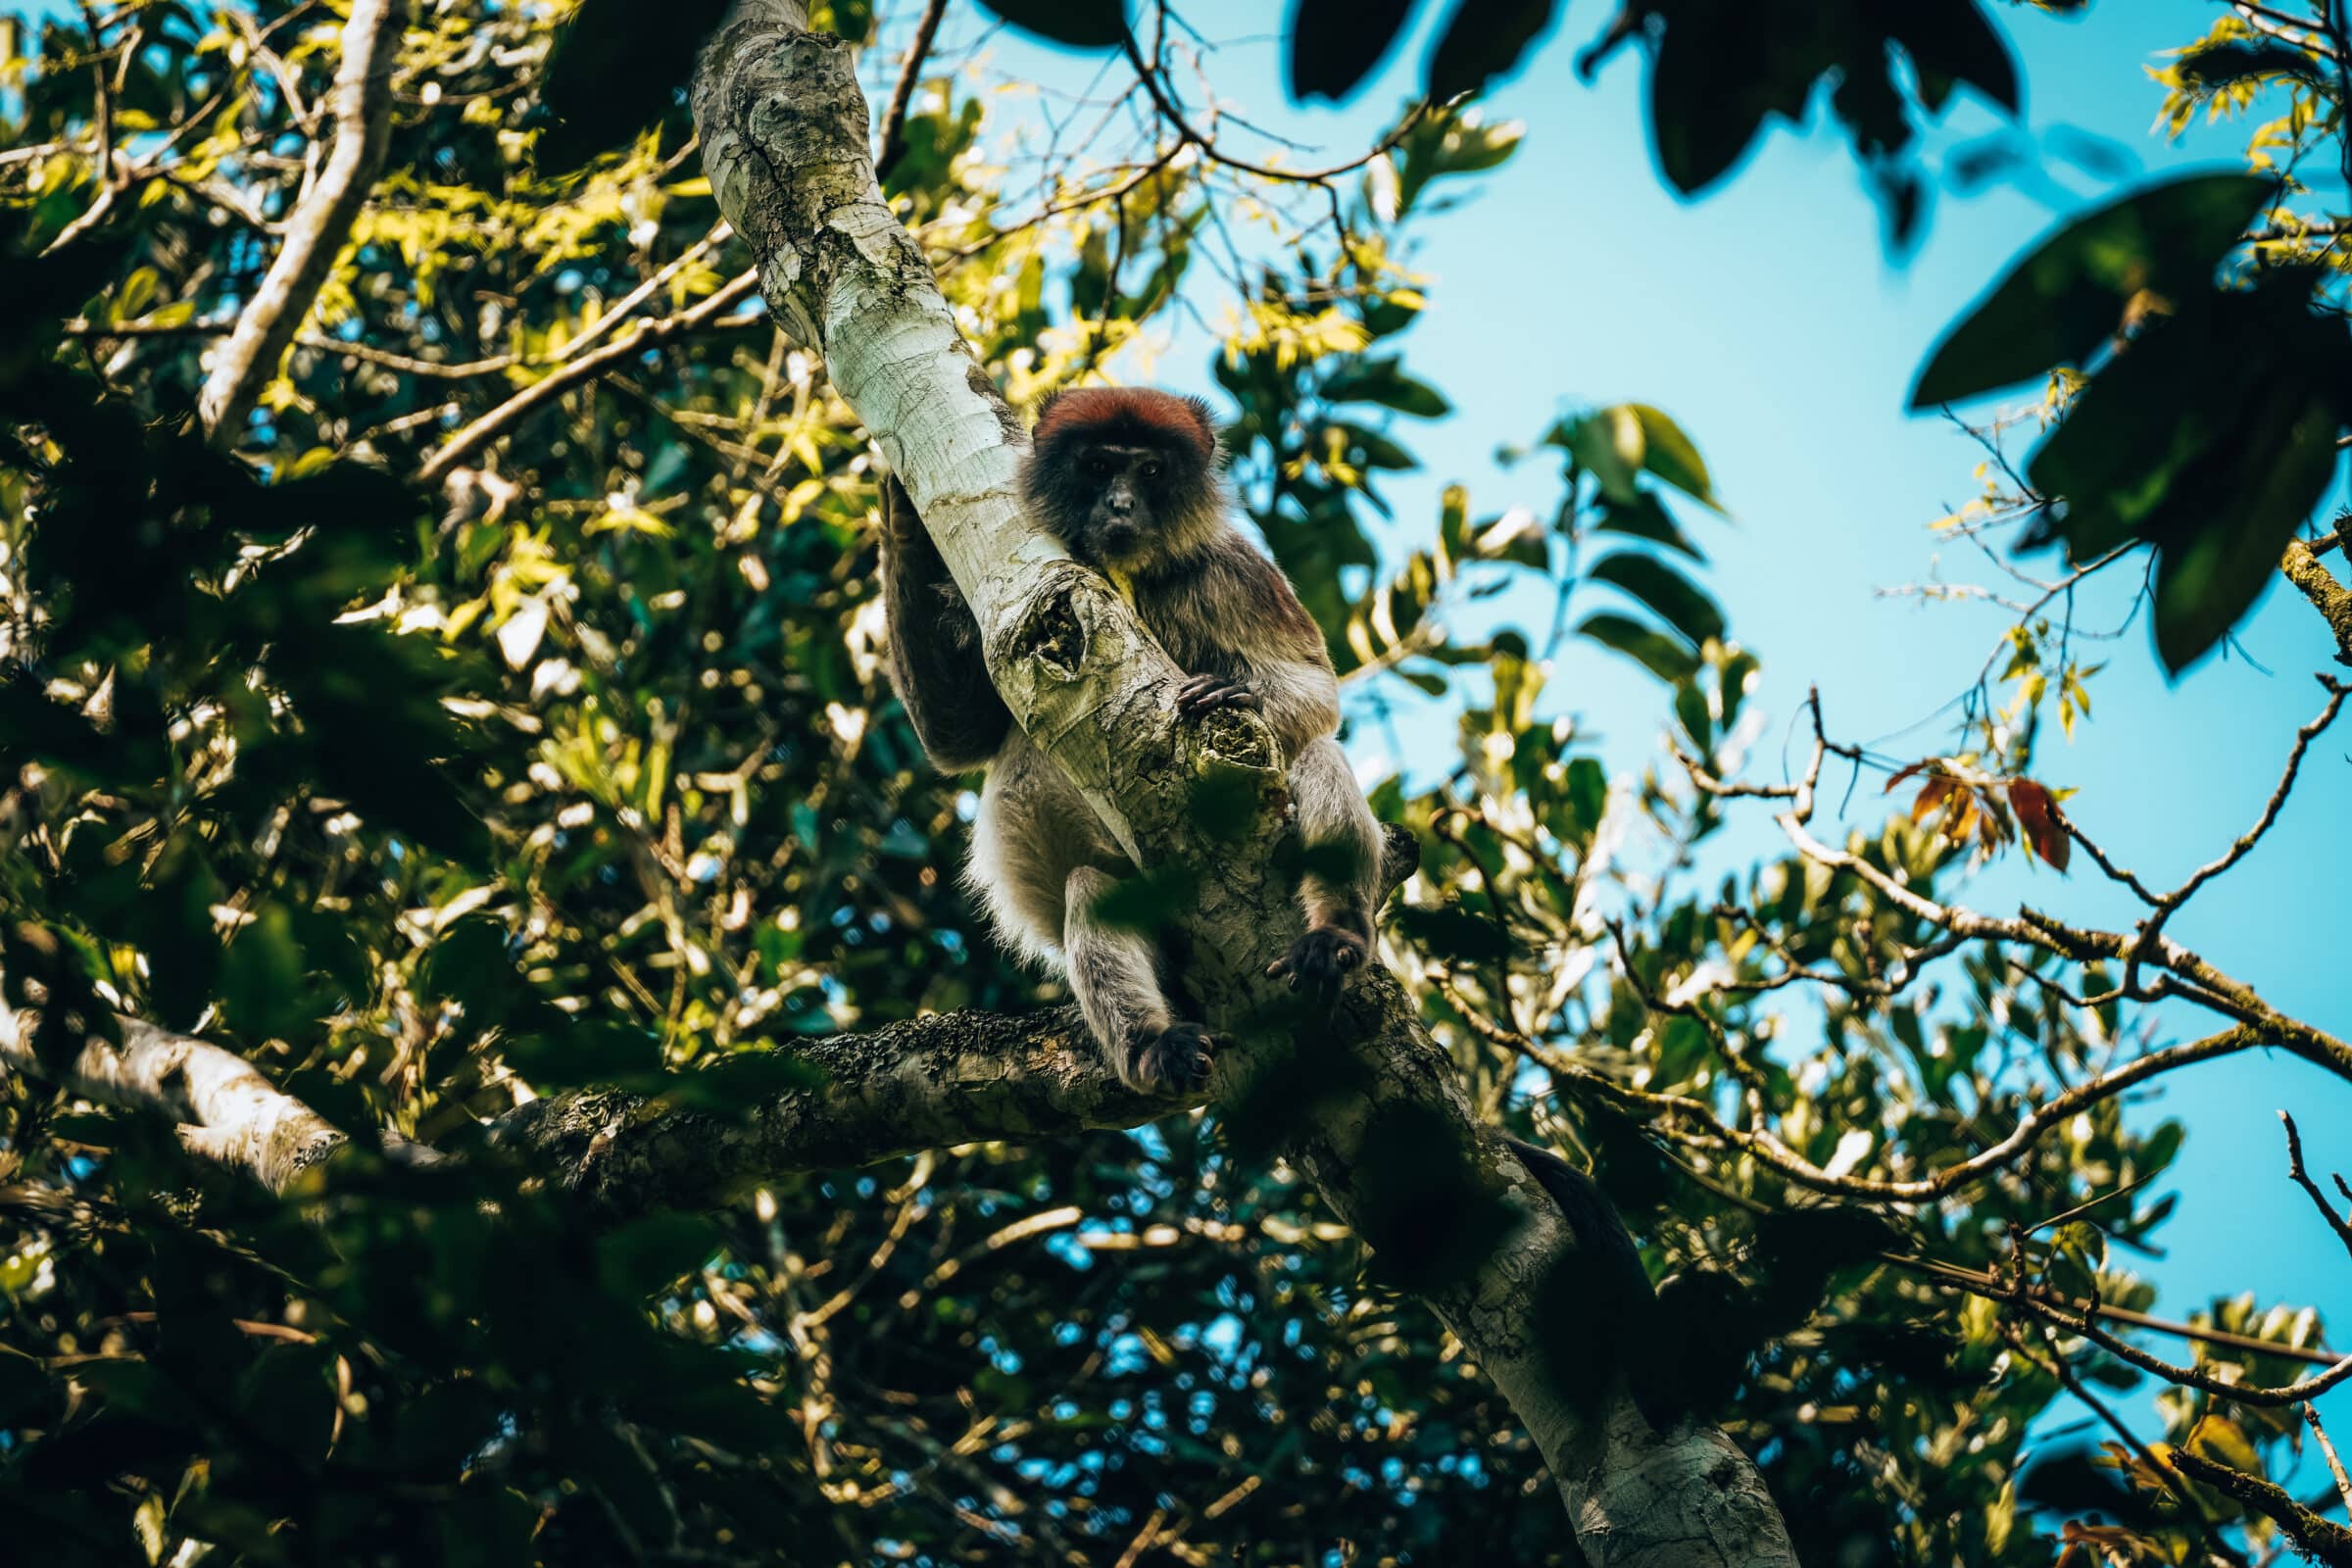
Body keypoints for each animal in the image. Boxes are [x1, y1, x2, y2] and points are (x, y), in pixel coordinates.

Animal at [884, 387, 1392, 1100]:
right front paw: (902, 512)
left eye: (1149, 472)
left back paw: (1335, 936)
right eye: (1099, 468)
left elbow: (1316, 688)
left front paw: (1237, 693)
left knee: (1318, 754)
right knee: (1089, 888)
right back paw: (1155, 1047)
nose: (1121, 505)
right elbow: (954, 741)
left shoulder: (1235, 569)